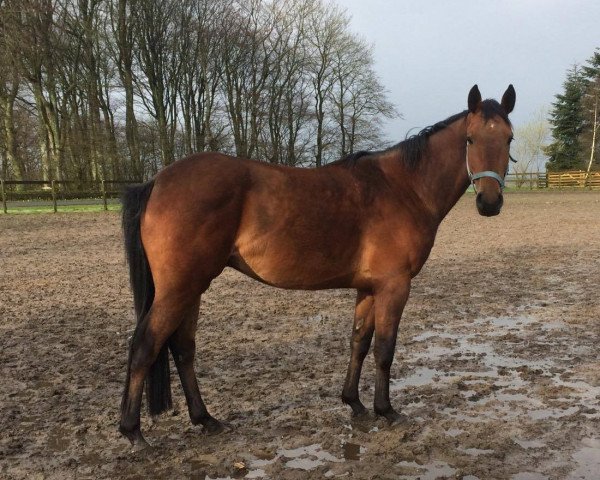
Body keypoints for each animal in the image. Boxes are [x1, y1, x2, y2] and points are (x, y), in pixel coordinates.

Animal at [118, 84, 516, 448]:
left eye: (509, 138)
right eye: (470, 139)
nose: (490, 202)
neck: (404, 188)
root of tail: (157, 181)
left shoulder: (368, 287)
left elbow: (359, 341)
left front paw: (354, 403)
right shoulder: (394, 285)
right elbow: (385, 349)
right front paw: (386, 410)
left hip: (193, 286)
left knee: (182, 347)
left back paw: (205, 419)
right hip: (180, 287)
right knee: (145, 345)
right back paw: (134, 433)